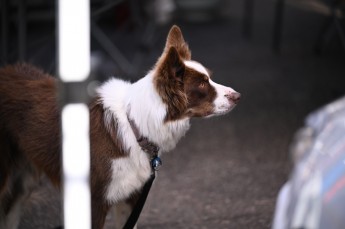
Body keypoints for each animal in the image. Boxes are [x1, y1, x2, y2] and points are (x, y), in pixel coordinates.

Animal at [0, 25, 239, 229]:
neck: (134, 124)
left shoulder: (131, 197)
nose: (237, 96)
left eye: (209, 79)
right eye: (202, 84)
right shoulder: (93, 202)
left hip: (25, 175)